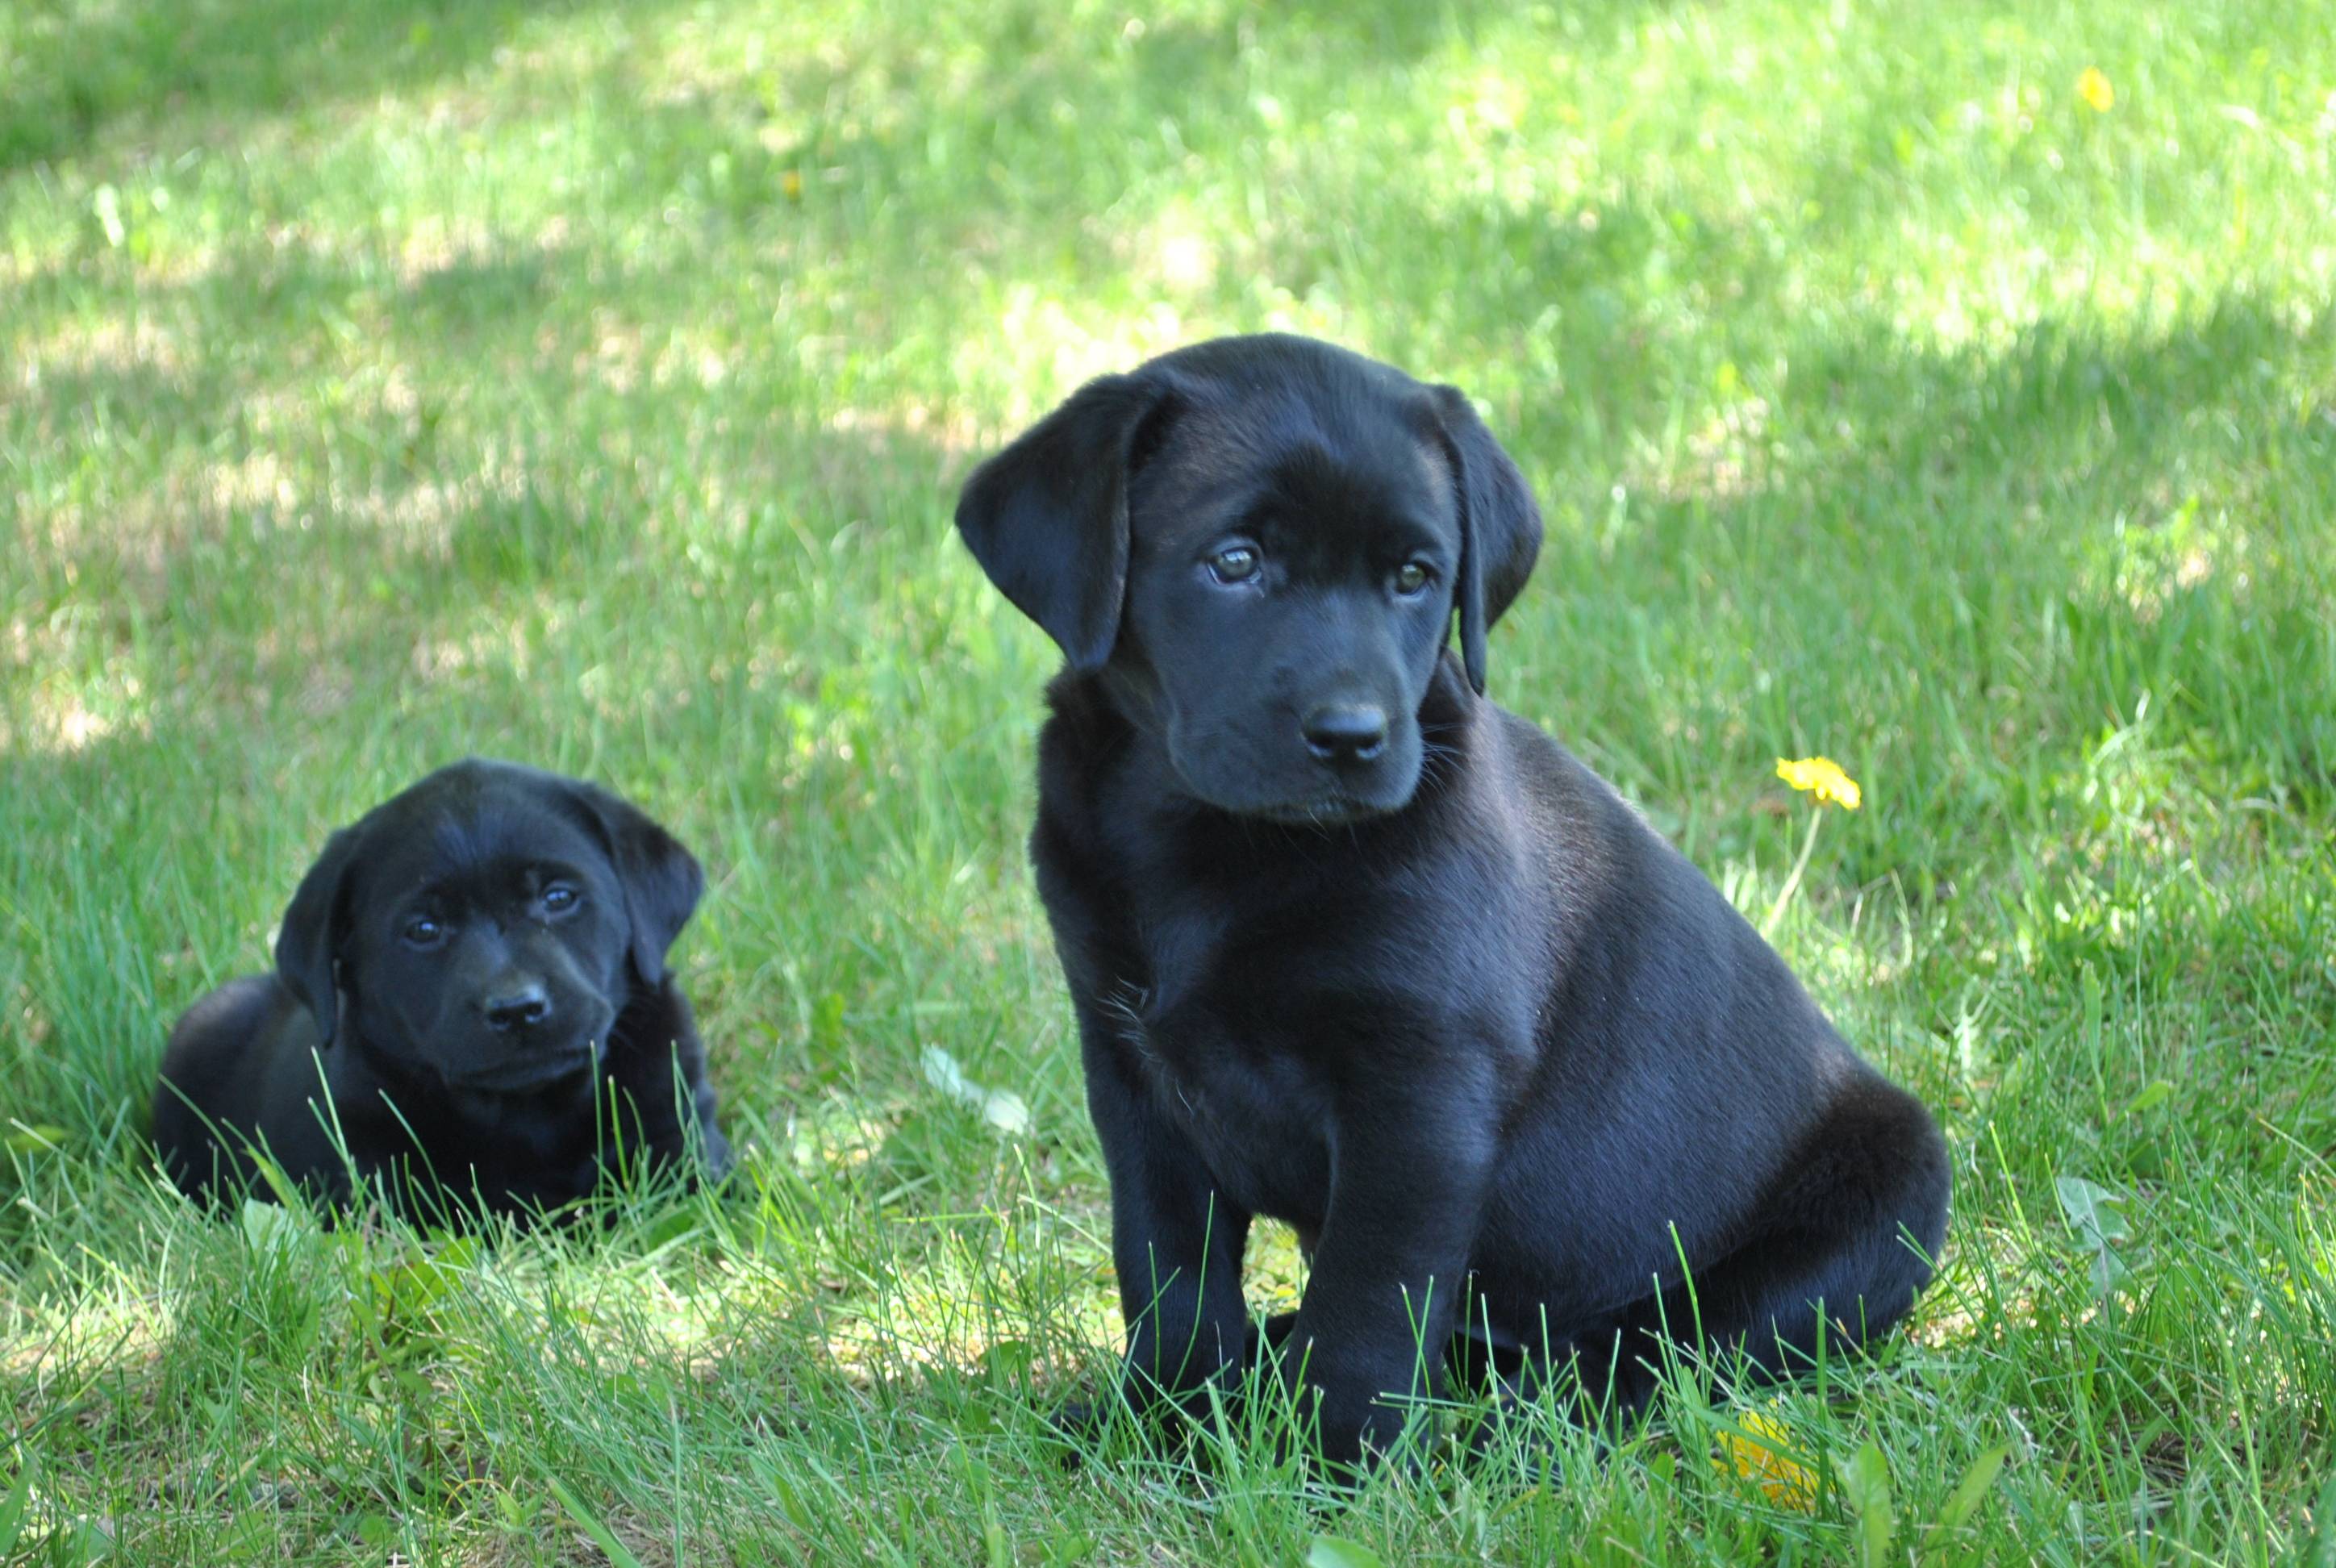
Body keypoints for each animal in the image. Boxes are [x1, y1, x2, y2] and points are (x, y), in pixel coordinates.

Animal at [160, 761, 724, 1224]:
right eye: (425, 929)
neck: (530, 1116)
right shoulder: (384, 1188)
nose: (516, 1009)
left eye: (559, 897)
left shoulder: (683, 1137)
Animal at [953, 334, 1953, 1477]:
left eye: (1413, 578)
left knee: (1645, 1359)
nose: (1352, 737)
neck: (1202, 838)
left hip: (1871, 1209)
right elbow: (1166, 1267)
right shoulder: (1130, 1066)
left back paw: (1500, 1428)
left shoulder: (1420, 1088)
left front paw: (1330, 1458)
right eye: (1234, 563)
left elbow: (1368, 1300)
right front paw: (1165, 1414)